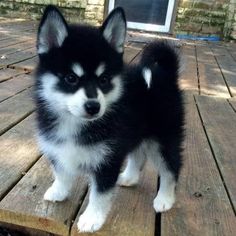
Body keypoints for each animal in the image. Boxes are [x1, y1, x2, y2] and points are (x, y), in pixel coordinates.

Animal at [34, 5, 184, 232]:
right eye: (71, 78)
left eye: (104, 80)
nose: (93, 106)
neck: (74, 123)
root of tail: (164, 73)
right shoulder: (58, 148)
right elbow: (61, 172)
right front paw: (58, 191)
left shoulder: (106, 160)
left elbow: (100, 194)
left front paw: (92, 218)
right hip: (136, 131)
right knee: (137, 155)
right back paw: (129, 178)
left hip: (165, 138)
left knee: (171, 169)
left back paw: (165, 199)